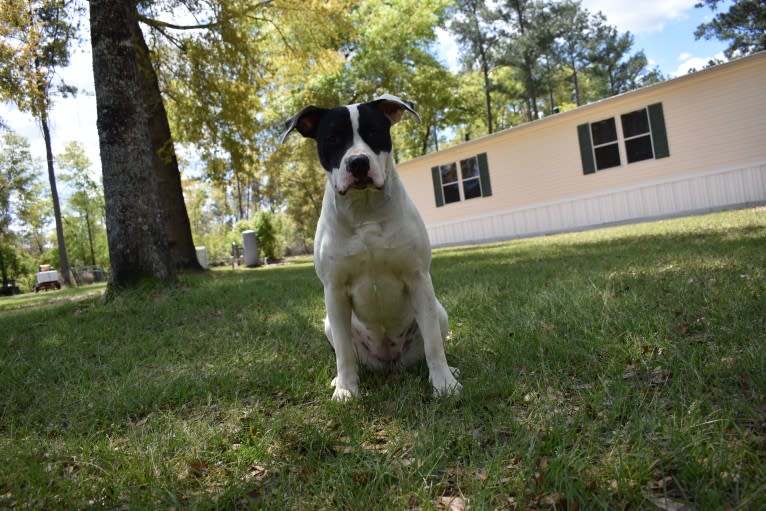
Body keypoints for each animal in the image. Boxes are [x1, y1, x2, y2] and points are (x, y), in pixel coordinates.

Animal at [282, 94, 462, 402]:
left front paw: (444, 383)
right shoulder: (335, 291)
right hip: (329, 323)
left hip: (439, 311)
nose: (358, 162)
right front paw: (346, 389)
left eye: (374, 132)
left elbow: (434, 345)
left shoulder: (418, 278)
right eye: (333, 138)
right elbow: (343, 353)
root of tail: (390, 364)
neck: (364, 208)